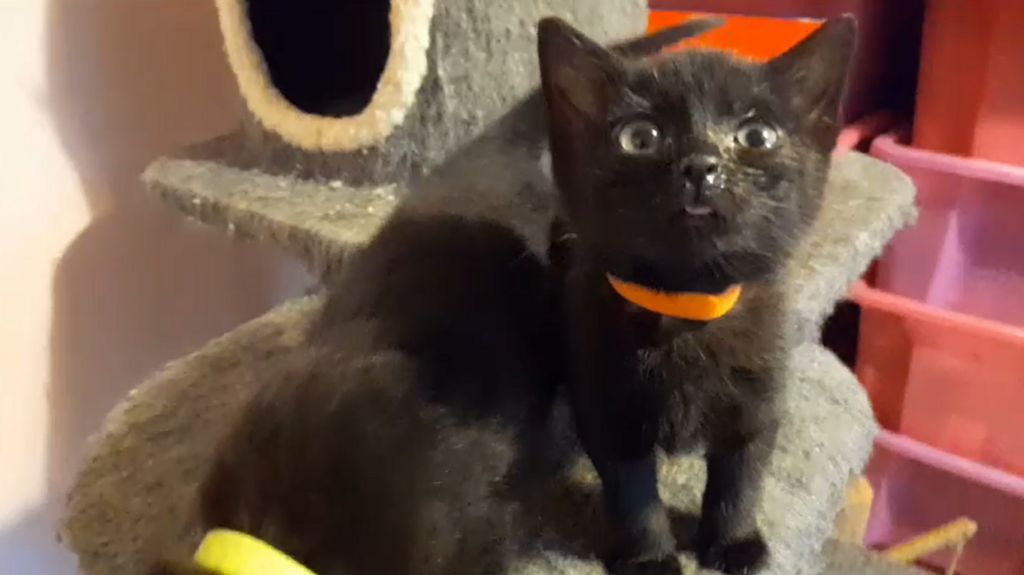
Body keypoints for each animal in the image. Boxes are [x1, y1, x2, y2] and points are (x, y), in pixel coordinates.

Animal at [536, 14, 856, 572]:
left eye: (756, 135)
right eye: (639, 137)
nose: (701, 165)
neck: (686, 308)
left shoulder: (762, 393)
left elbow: (742, 474)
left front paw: (733, 541)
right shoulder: (604, 399)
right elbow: (632, 490)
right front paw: (650, 556)